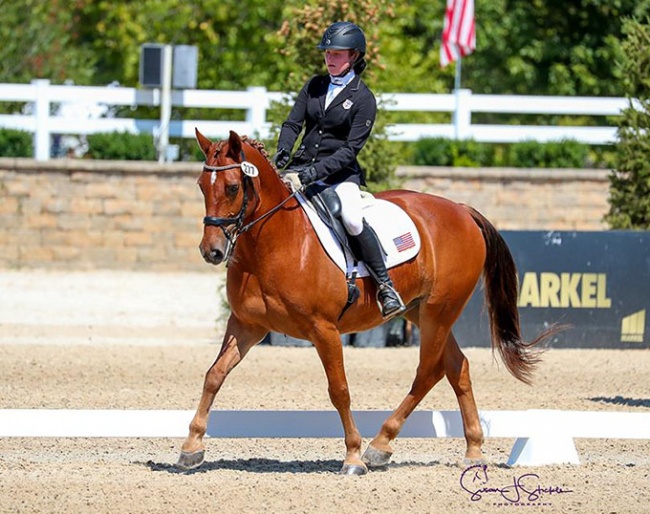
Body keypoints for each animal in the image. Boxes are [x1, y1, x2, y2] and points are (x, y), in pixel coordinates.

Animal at [176, 128, 552, 472]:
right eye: (201, 185)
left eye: (232, 187)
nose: (212, 251)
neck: (274, 241)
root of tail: (460, 210)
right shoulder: (247, 325)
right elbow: (214, 375)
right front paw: (191, 447)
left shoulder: (324, 330)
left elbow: (339, 389)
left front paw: (354, 455)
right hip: (421, 312)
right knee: (457, 368)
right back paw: (472, 450)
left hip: (439, 311)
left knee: (428, 372)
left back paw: (379, 446)